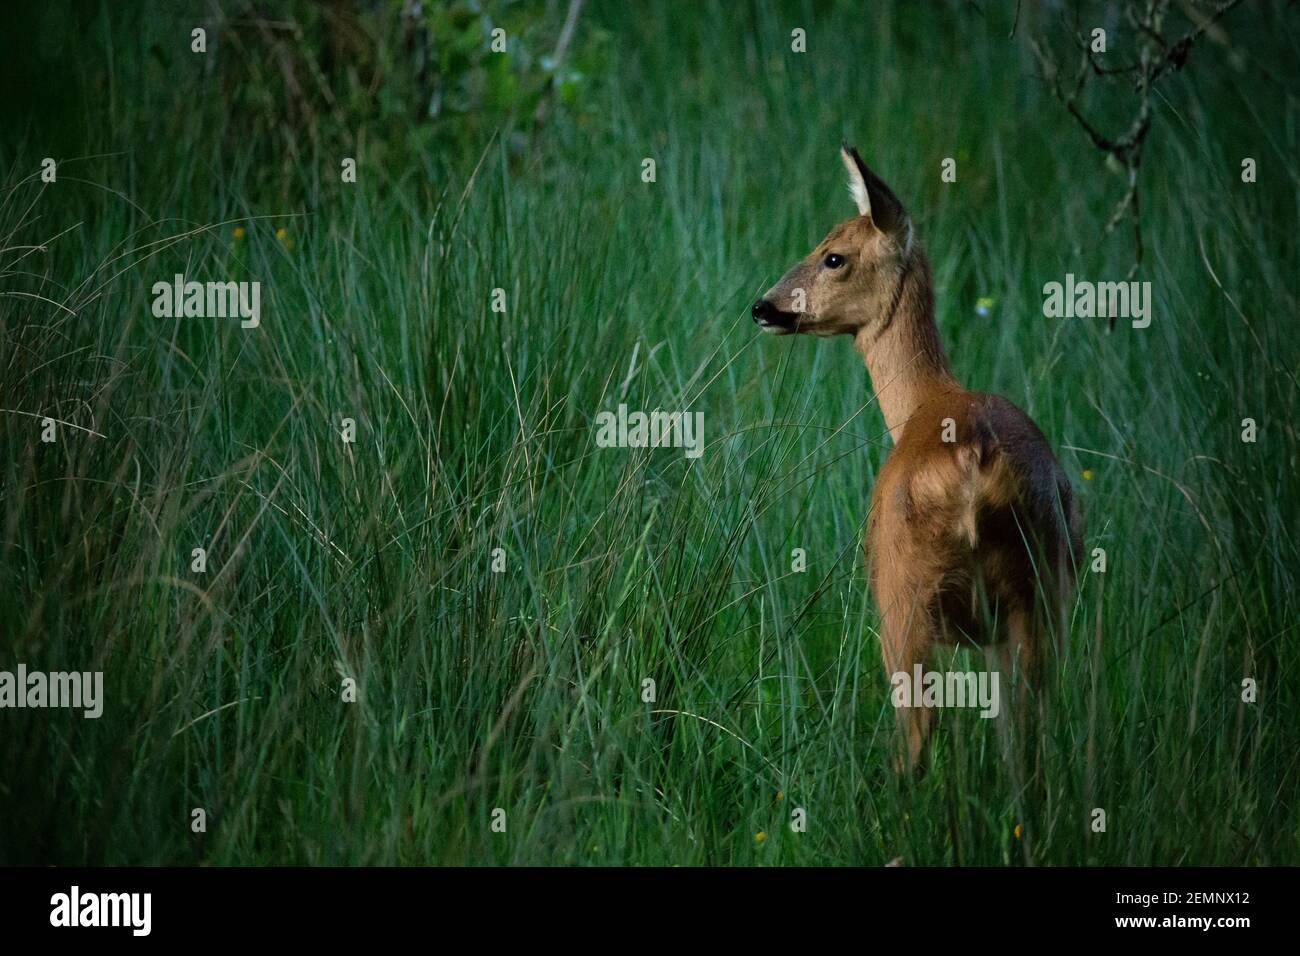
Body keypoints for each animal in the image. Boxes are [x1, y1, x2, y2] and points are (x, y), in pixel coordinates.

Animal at [748, 145, 1081, 775]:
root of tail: (976, 461)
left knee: (918, 737)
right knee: (1028, 740)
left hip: (902, 598)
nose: (762, 306)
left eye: (833, 255)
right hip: (1039, 591)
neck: (922, 402)